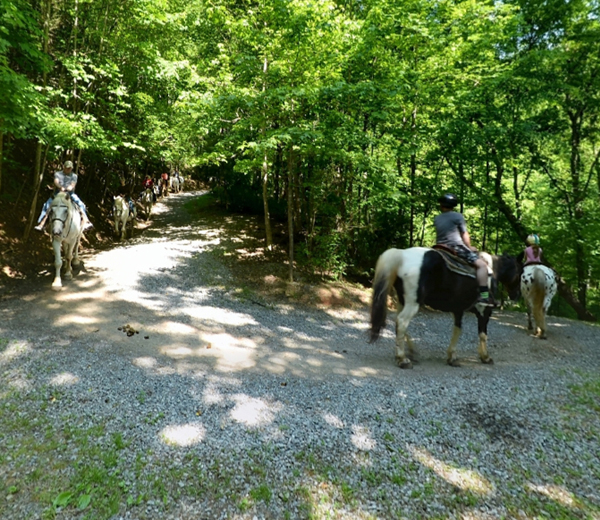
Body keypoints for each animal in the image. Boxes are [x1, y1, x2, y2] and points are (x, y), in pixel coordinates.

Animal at [368, 249, 524, 368]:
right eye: (521, 271)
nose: (516, 295)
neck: (492, 271)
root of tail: (401, 255)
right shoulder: (484, 311)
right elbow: (483, 334)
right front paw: (485, 357)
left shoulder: (458, 310)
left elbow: (457, 330)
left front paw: (452, 357)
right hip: (413, 303)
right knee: (401, 321)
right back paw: (403, 359)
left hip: (402, 301)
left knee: (398, 322)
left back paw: (411, 352)